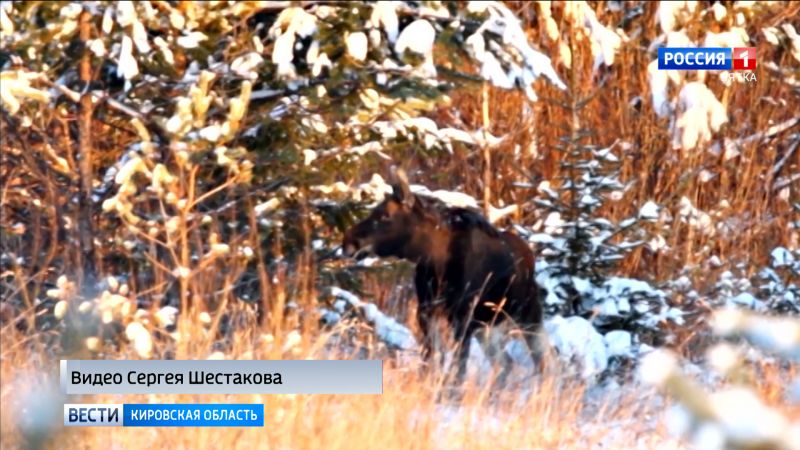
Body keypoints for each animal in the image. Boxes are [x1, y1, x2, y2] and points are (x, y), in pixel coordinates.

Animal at [344, 169, 544, 384]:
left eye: (386, 215)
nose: (348, 241)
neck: (435, 261)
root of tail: (530, 254)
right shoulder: (426, 311)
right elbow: (430, 359)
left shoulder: (462, 317)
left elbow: (458, 369)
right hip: (488, 326)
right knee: (506, 363)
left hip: (527, 313)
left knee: (545, 361)